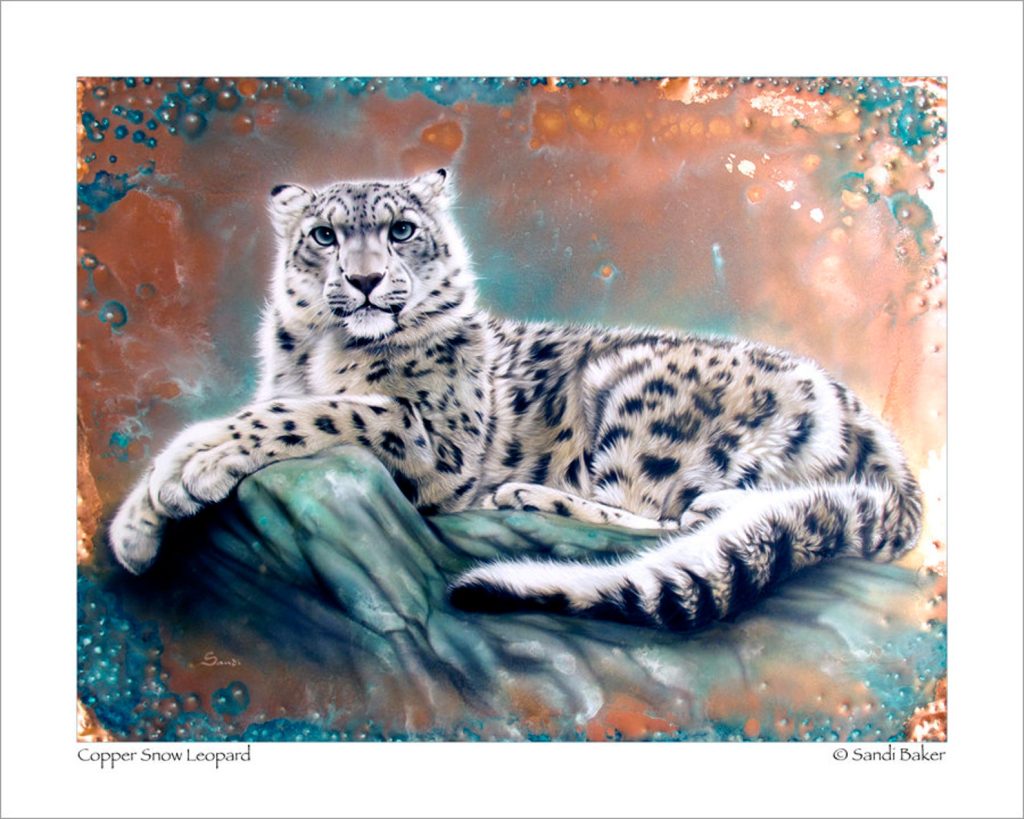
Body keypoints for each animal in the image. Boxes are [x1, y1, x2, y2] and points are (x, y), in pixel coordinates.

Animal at [108, 169, 922, 632]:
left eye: (402, 230)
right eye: (325, 235)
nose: (366, 281)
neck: (314, 354)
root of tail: (862, 411)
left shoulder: (438, 449)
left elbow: (333, 410)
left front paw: (196, 471)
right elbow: (243, 417)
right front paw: (139, 523)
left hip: (637, 400)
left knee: (662, 514)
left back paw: (525, 494)